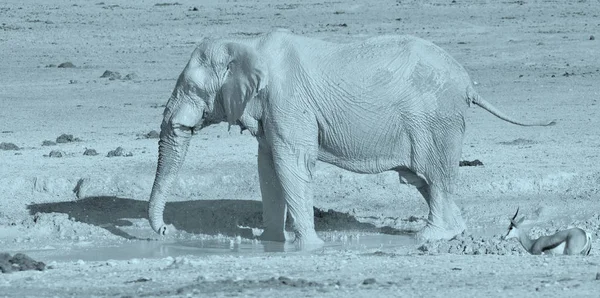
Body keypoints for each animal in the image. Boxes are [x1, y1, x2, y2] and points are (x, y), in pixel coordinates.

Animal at [148, 29, 556, 247]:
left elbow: (291, 164)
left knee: (435, 176)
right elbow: (268, 169)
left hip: (436, 120)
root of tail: (470, 83)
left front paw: (309, 247)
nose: (168, 230)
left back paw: (429, 237)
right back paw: (452, 231)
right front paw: (271, 244)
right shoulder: (272, 112)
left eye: (191, 89)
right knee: (421, 179)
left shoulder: (289, 102)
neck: (247, 44)